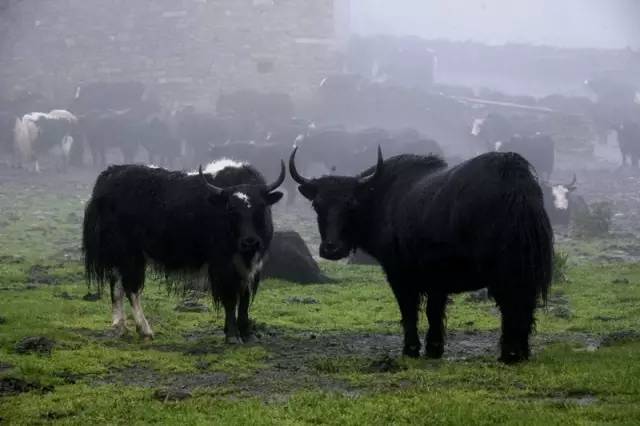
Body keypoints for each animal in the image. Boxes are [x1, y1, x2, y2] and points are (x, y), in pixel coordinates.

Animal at [82, 160, 284, 342]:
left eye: (260, 207)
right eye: (231, 210)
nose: (250, 242)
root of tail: (109, 175)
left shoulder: (253, 267)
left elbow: (244, 299)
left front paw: (247, 334)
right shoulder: (223, 265)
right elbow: (230, 299)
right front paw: (233, 336)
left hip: (120, 255)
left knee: (116, 285)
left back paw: (120, 326)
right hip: (130, 254)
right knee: (131, 287)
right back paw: (145, 330)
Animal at [292, 147, 552, 362]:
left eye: (351, 204)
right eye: (317, 205)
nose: (331, 248)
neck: (380, 197)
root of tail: (515, 183)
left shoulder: (399, 274)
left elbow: (409, 310)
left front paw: (411, 349)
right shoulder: (437, 278)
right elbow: (434, 311)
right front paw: (434, 349)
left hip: (505, 269)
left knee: (513, 305)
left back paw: (510, 353)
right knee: (524, 305)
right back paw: (521, 352)